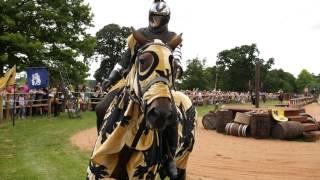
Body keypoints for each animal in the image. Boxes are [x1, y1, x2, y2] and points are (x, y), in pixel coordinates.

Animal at [87, 29, 198, 180]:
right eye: (142, 61)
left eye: (174, 67)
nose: (160, 114)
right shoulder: (97, 168)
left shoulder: (142, 172)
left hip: (182, 161)